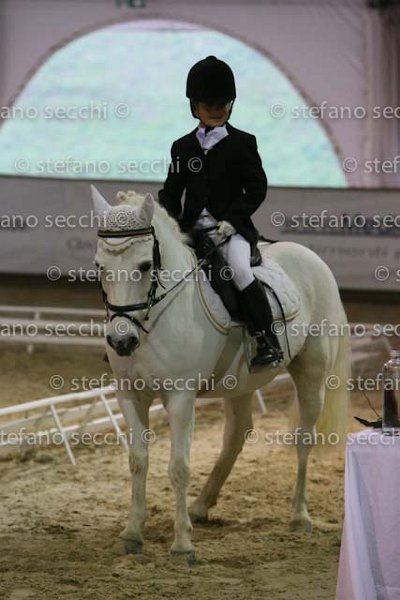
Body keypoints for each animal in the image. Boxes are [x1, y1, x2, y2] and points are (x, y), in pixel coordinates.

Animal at [90, 185, 350, 559]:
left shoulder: (180, 396)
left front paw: (182, 543)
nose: (122, 341)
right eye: (100, 266)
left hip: (312, 373)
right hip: (240, 382)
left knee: (304, 438)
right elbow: (138, 460)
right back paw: (202, 505)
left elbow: (179, 466)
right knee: (238, 434)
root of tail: (311, 257)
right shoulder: (129, 394)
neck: (156, 318)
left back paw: (300, 516)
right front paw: (132, 533)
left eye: (144, 265)